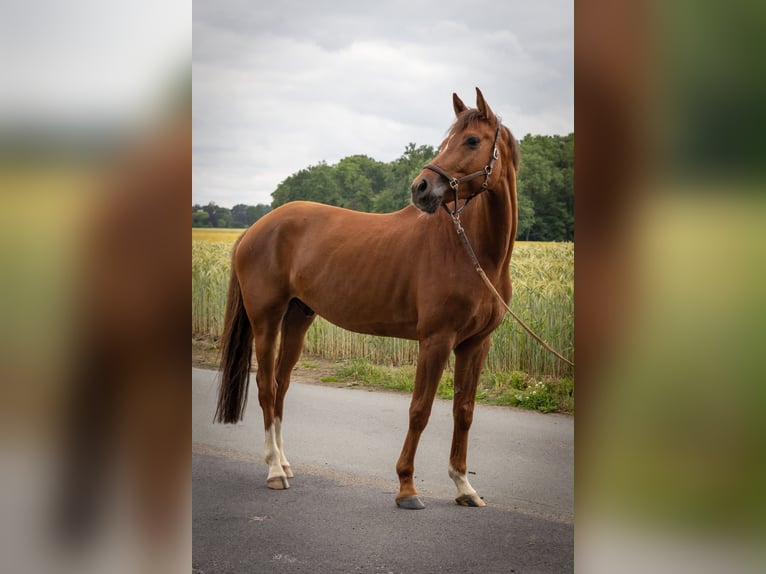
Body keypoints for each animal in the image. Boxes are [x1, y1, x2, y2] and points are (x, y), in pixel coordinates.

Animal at [215, 88, 520, 509]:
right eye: (446, 141)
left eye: (472, 140)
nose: (421, 188)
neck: (472, 251)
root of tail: (255, 228)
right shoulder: (436, 340)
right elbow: (420, 409)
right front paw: (407, 487)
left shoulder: (476, 344)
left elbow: (464, 411)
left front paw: (463, 487)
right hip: (266, 319)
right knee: (265, 387)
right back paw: (275, 470)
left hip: (297, 318)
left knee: (280, 385)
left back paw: (285, 463)